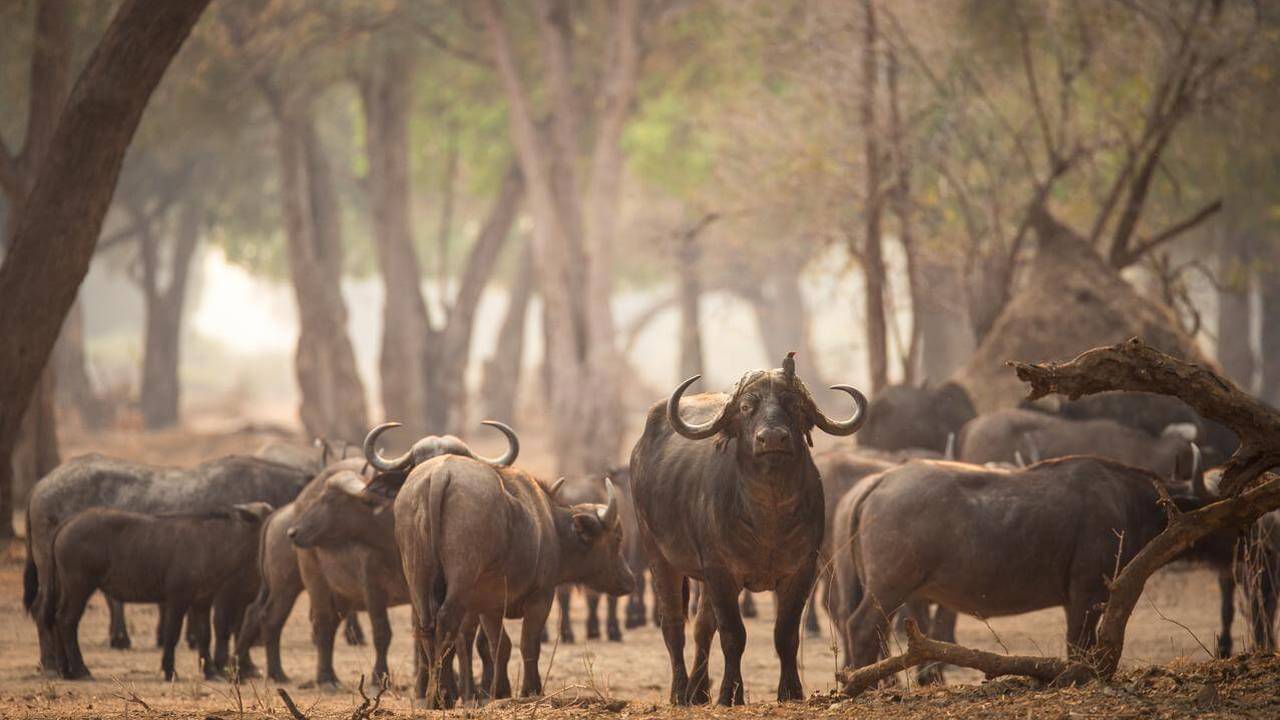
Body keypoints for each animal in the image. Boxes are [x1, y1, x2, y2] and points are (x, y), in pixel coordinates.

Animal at [630, 353, 867, 705]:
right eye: (746, 407)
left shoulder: (801, 571)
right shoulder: (721, 572)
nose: (772, 438)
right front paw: (730, 694)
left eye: (792, 403)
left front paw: (791, 691)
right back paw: (679, 692)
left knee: (702, 628)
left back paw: (699, 691)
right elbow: (733, 635)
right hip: (658, 556)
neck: (768, 516)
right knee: (673, 625)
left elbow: (785, 634)